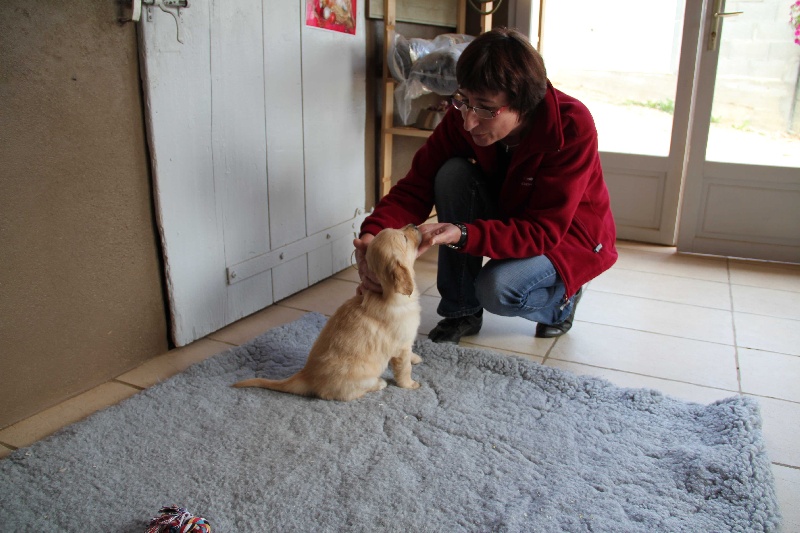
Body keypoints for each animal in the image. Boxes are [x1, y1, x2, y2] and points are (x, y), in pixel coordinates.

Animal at [233, 223, 424, 400]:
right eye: (404, 238)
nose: (414, 225)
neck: (387, 295)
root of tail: (306, 375)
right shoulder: (401, 346)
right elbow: (404, 369)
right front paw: (410, 384)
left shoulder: (406, 343)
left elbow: (409, 356)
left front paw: (415, 358)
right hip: (359, 377)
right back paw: (379, 383)